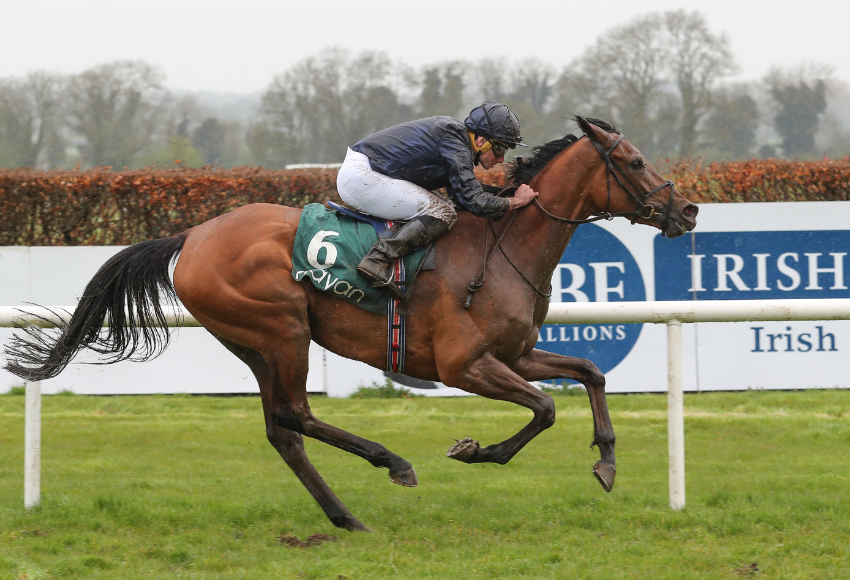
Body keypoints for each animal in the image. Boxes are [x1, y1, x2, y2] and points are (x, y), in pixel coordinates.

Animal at [4, 116, 696, 532]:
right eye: (635, 162)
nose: (687, 208)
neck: (502, 247)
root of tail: (192, 236)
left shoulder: (515, 354)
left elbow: (590, 372)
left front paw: (606, 463)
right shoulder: (464, 365)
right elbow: (546, 408)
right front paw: (476, 451)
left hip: (254, 343)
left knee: (282, 429)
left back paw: (345, 516)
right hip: (280, 330)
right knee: (296, 415)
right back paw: (391, 463)